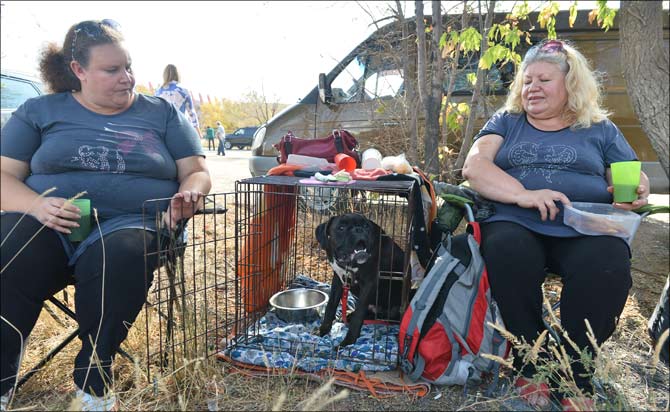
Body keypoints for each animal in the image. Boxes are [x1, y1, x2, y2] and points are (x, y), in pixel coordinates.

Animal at [318, 212, 406, 348]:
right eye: (341, 228)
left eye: (366, 226)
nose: (359, 230)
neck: (349, 265)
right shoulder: (338, 280)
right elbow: (331, 306)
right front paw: (323, 330)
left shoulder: (369, 284)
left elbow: (359, 314)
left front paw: (348, 342)